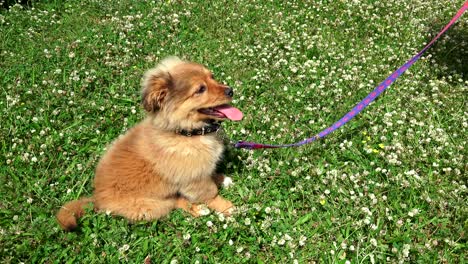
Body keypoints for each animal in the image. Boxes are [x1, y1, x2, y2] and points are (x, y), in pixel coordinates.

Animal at [56, 56, 243, 230]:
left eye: (212, 77)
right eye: (200, 89)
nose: (231, 91)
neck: (186, 132)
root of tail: (96, 199)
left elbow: (211, 174)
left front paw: (222, 178)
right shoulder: (194, 178)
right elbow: (211, 193)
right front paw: (227, 207)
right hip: (152, 206)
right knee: (175, 201)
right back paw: (197, 209)